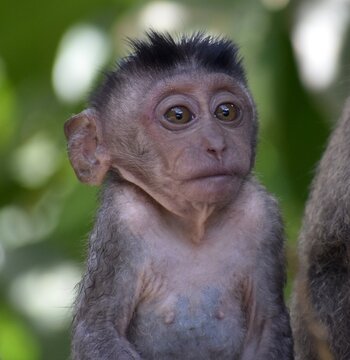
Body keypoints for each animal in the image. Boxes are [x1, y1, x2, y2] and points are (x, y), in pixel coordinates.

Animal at [65, 31, 292, 360]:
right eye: (178, 115)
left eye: (226, 112)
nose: (216, 144)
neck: (194, 226)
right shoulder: (123, 218)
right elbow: (98, 330)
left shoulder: (261, 214)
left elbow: (269, 327)